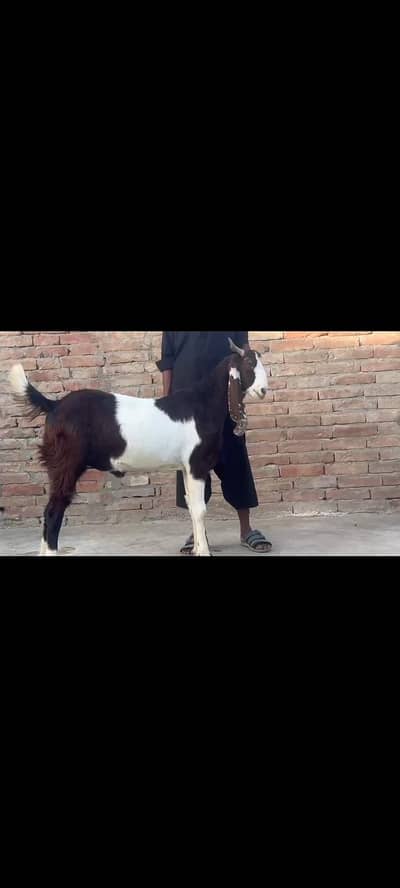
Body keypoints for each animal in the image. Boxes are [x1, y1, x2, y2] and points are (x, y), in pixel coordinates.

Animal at [9, 338, 268, 556]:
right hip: (66, 463)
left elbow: (191, 506)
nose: (263, 390)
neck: (202, 404)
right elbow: (200, 508)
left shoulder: (186, 466)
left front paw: (196, 548)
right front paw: (203, 551)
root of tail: (54, 405)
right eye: (248, 364)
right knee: (54, 510)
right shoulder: (197, 464)